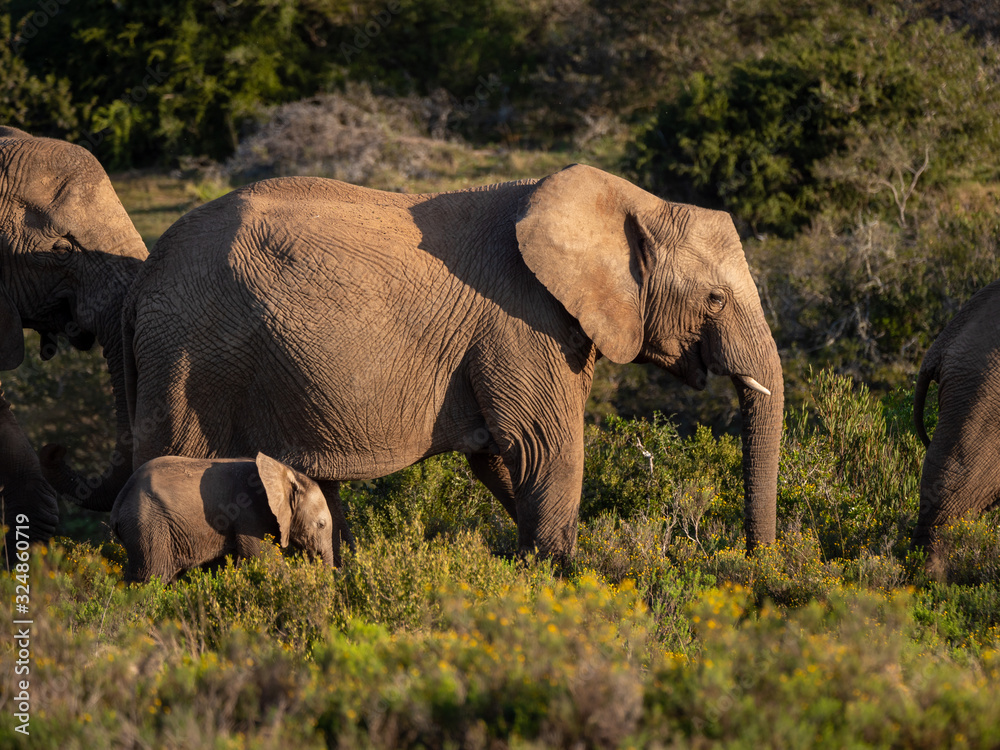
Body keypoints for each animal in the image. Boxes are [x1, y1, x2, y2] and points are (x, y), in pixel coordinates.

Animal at [112, 452, 348, 588]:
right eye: (320, 524)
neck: (287, 473)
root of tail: (120, 499)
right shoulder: (250, 510)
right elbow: (263, 557)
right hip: (149, 523)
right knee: (149, 578)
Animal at [123, 167, 780, 560]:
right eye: (715, 299)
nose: (753, 563)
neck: (634, 203)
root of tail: (146, 274)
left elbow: (501, 459)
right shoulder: (522, 318)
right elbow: (543, 448)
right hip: (190, 357)